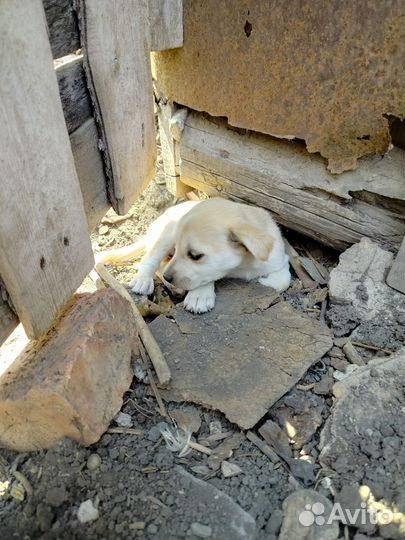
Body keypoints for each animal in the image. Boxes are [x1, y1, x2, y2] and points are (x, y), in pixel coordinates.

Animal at [96, 198, 288, 312]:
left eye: (195, 255)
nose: (169, 277)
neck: (241, 266)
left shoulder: (279, 258)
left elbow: (283, 280)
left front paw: (266, 281)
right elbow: (204, 278)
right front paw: (199, 296)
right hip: (165, 235)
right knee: (150, 260)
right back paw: (145, 280)